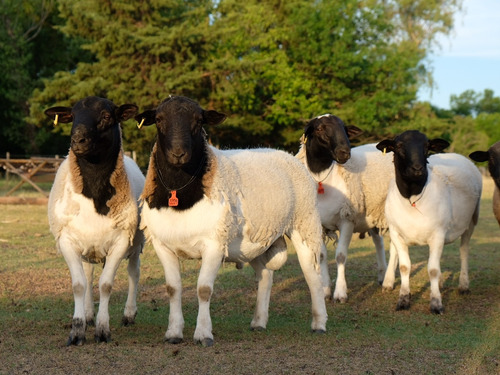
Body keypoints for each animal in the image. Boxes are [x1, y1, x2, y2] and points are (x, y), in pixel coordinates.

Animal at [44, 97, 145, 346]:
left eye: (106, 116)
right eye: (72, 115)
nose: (77, 140)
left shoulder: (121, 241)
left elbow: (106, 284)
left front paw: (102, 330)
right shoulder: (67, 241)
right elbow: (79, 284)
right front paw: (77, 330)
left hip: (136, 242)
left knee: (133, 273)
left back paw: (129, 314)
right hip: (88, 245)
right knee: (88, 275)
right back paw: (89, 314)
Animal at [136, 95, 328, 348]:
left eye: (198, 121)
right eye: (159, 119)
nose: (178, 153)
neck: (180, 192)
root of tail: (287, 155)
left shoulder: (214, 243)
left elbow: (204, 289)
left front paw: (203, 334)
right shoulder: (162, 244)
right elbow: (173, 289)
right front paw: (174, 333)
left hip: (304, 223)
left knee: (312, 275)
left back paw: (319, 324)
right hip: (258, 240)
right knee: (265, 275)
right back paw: (258, 322)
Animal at [294, 114, 396, 302]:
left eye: (344, 129)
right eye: (319, 128)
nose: (344, 152)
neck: (322, 180)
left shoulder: (347, 219)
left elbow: (340, 256)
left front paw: (340, 293)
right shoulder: (319, 224)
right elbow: (321, 256)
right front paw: (325, 291)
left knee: (396, 245)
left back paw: (389, 281)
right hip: (373, 215)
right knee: (379, 242)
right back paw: (382, 275)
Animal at [376, 130, 482, 314]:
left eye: (427, 146)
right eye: (399, 146)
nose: (418, 169)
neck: (412, 198)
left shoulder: (438, 234)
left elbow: (432, 270)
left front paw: (436, 303)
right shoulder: (396, 232)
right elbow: (404, 267)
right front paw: (403, 299)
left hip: (471, 220)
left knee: (464, 251)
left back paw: (463, 285)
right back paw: (389, 282)